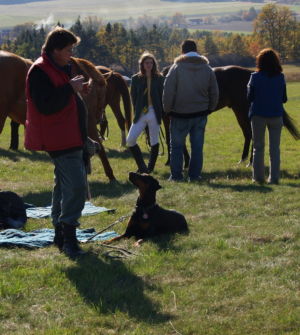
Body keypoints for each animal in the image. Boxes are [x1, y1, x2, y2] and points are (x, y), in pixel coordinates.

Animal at [163, 65, 298, 166]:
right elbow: (172, 138)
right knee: (248, 133)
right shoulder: (168, 118)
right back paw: (243, 159)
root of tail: (251, 73)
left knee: (252, 133)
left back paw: (250, 162)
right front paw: (174, 161)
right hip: (239, 111)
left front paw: (178, 161)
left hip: (243, 110)